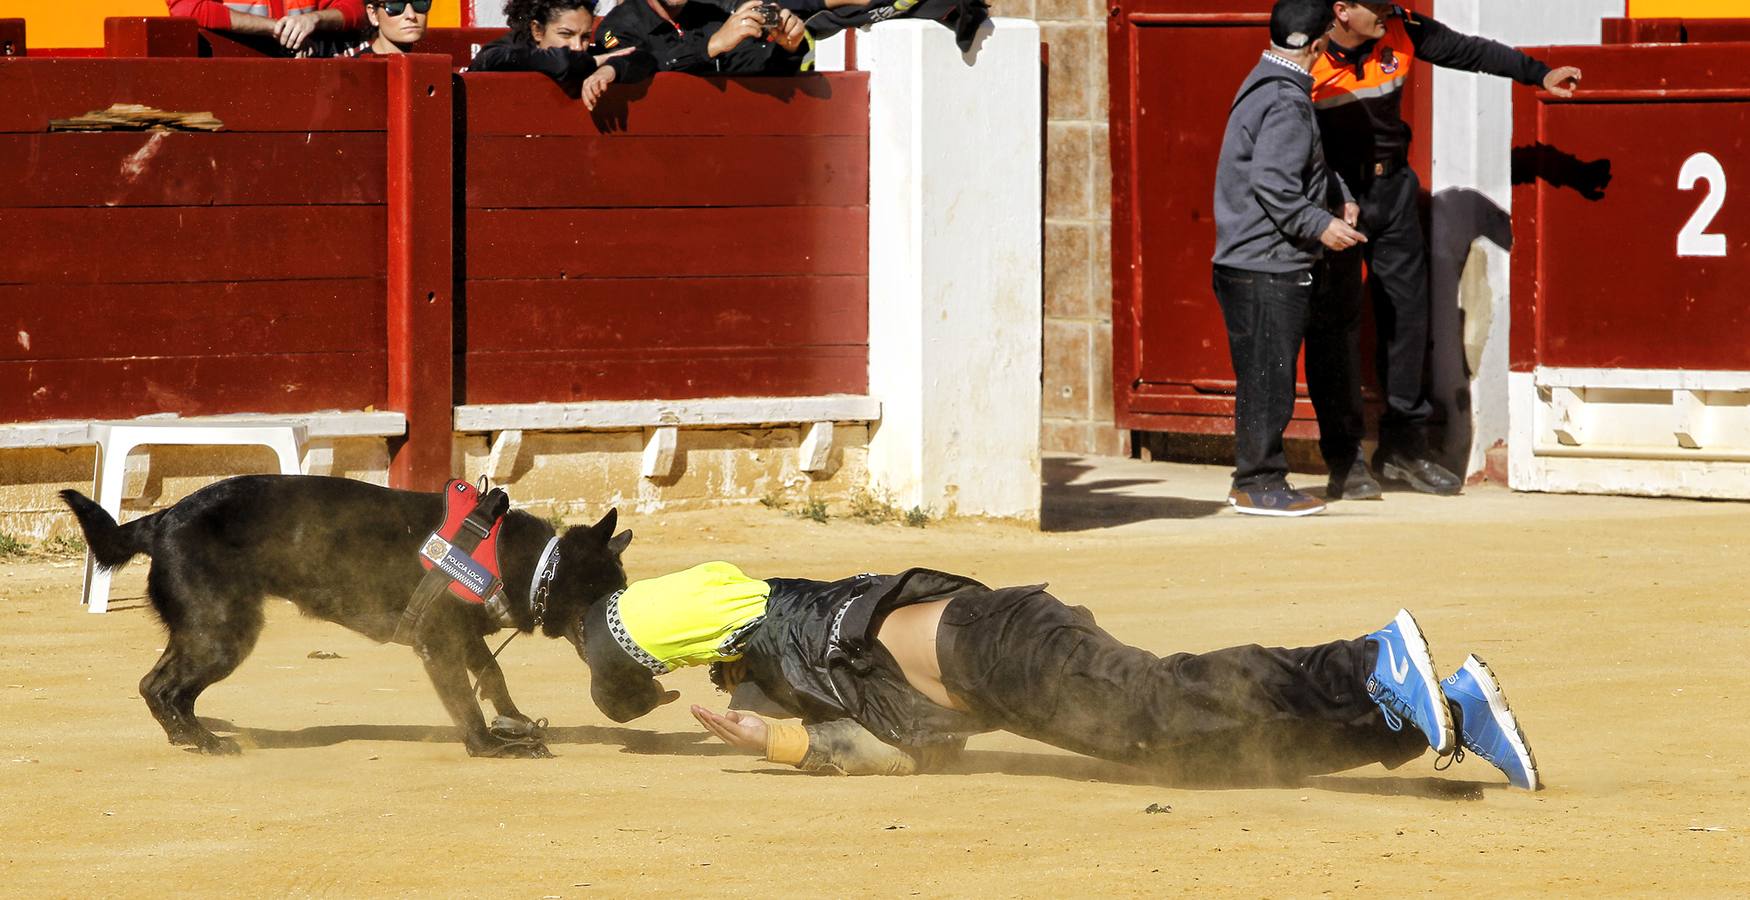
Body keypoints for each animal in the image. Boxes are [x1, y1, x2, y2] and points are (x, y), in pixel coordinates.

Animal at [63, 472, 637, 752]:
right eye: (611, 586)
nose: (625, 610)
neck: (526, 560)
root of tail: (159, 520)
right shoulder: (439, 645)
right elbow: (465, 703)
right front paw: (492, 747)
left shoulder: (465, 638)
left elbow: (493, 675)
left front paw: (515, 722)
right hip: (222, 634)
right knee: (162, 687)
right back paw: (203, 742)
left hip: (204, 632)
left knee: (159, 686)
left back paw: (188, 737)